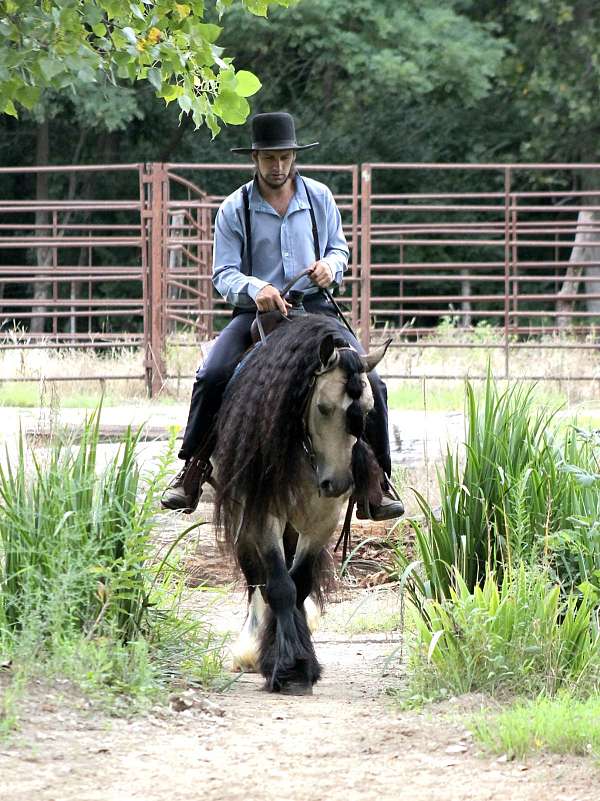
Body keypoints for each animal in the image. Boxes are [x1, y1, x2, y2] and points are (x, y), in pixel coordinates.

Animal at [214, 312, 390, 692]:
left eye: (369, 411)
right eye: (323, 408)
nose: (338, 483)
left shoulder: (323, 519)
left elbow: (300, 583)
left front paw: (301, 660)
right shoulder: (264, 514)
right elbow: (279, 586)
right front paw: (287, 666)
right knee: (256, 577)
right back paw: (250, 649)